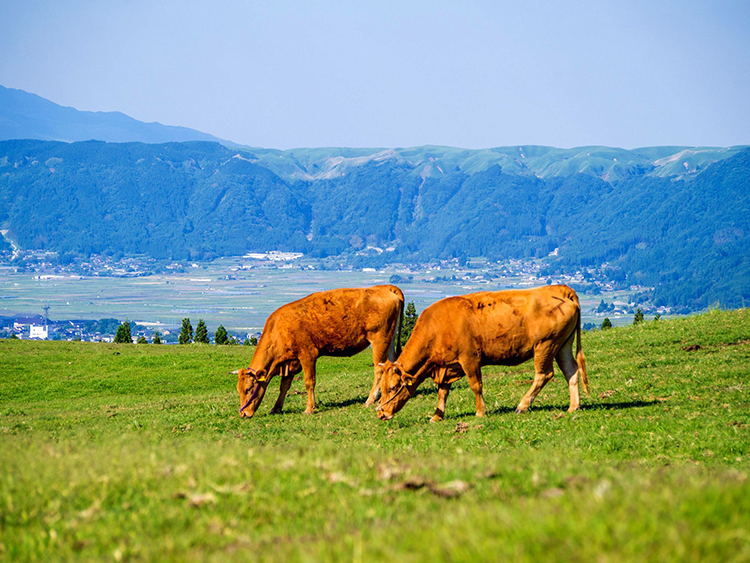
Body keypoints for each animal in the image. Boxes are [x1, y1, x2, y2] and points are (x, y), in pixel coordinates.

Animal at [239, 286, 406, 418]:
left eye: (248, 389)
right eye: (239, 390)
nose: (243, 413)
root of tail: (383, 287)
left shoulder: (307, 354)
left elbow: (309, 382)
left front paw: (309, 408)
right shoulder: (290, 362)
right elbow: (284, 386)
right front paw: (276, 408)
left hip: (379, 339)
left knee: (378, 369)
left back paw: (370, 400)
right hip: (389, 339)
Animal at [378, 286, 592, 424]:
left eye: (392, 387)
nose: (380, 413)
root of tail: (562, 289)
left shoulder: (470, 358)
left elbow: (476, 385)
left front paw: (481, 412)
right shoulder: (446, 365)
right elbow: (442, 392)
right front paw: (437, 416)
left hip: (545, 345)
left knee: (544, 374)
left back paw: (523, 405)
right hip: (563, 344)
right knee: (571, 371)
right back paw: (574, 406)